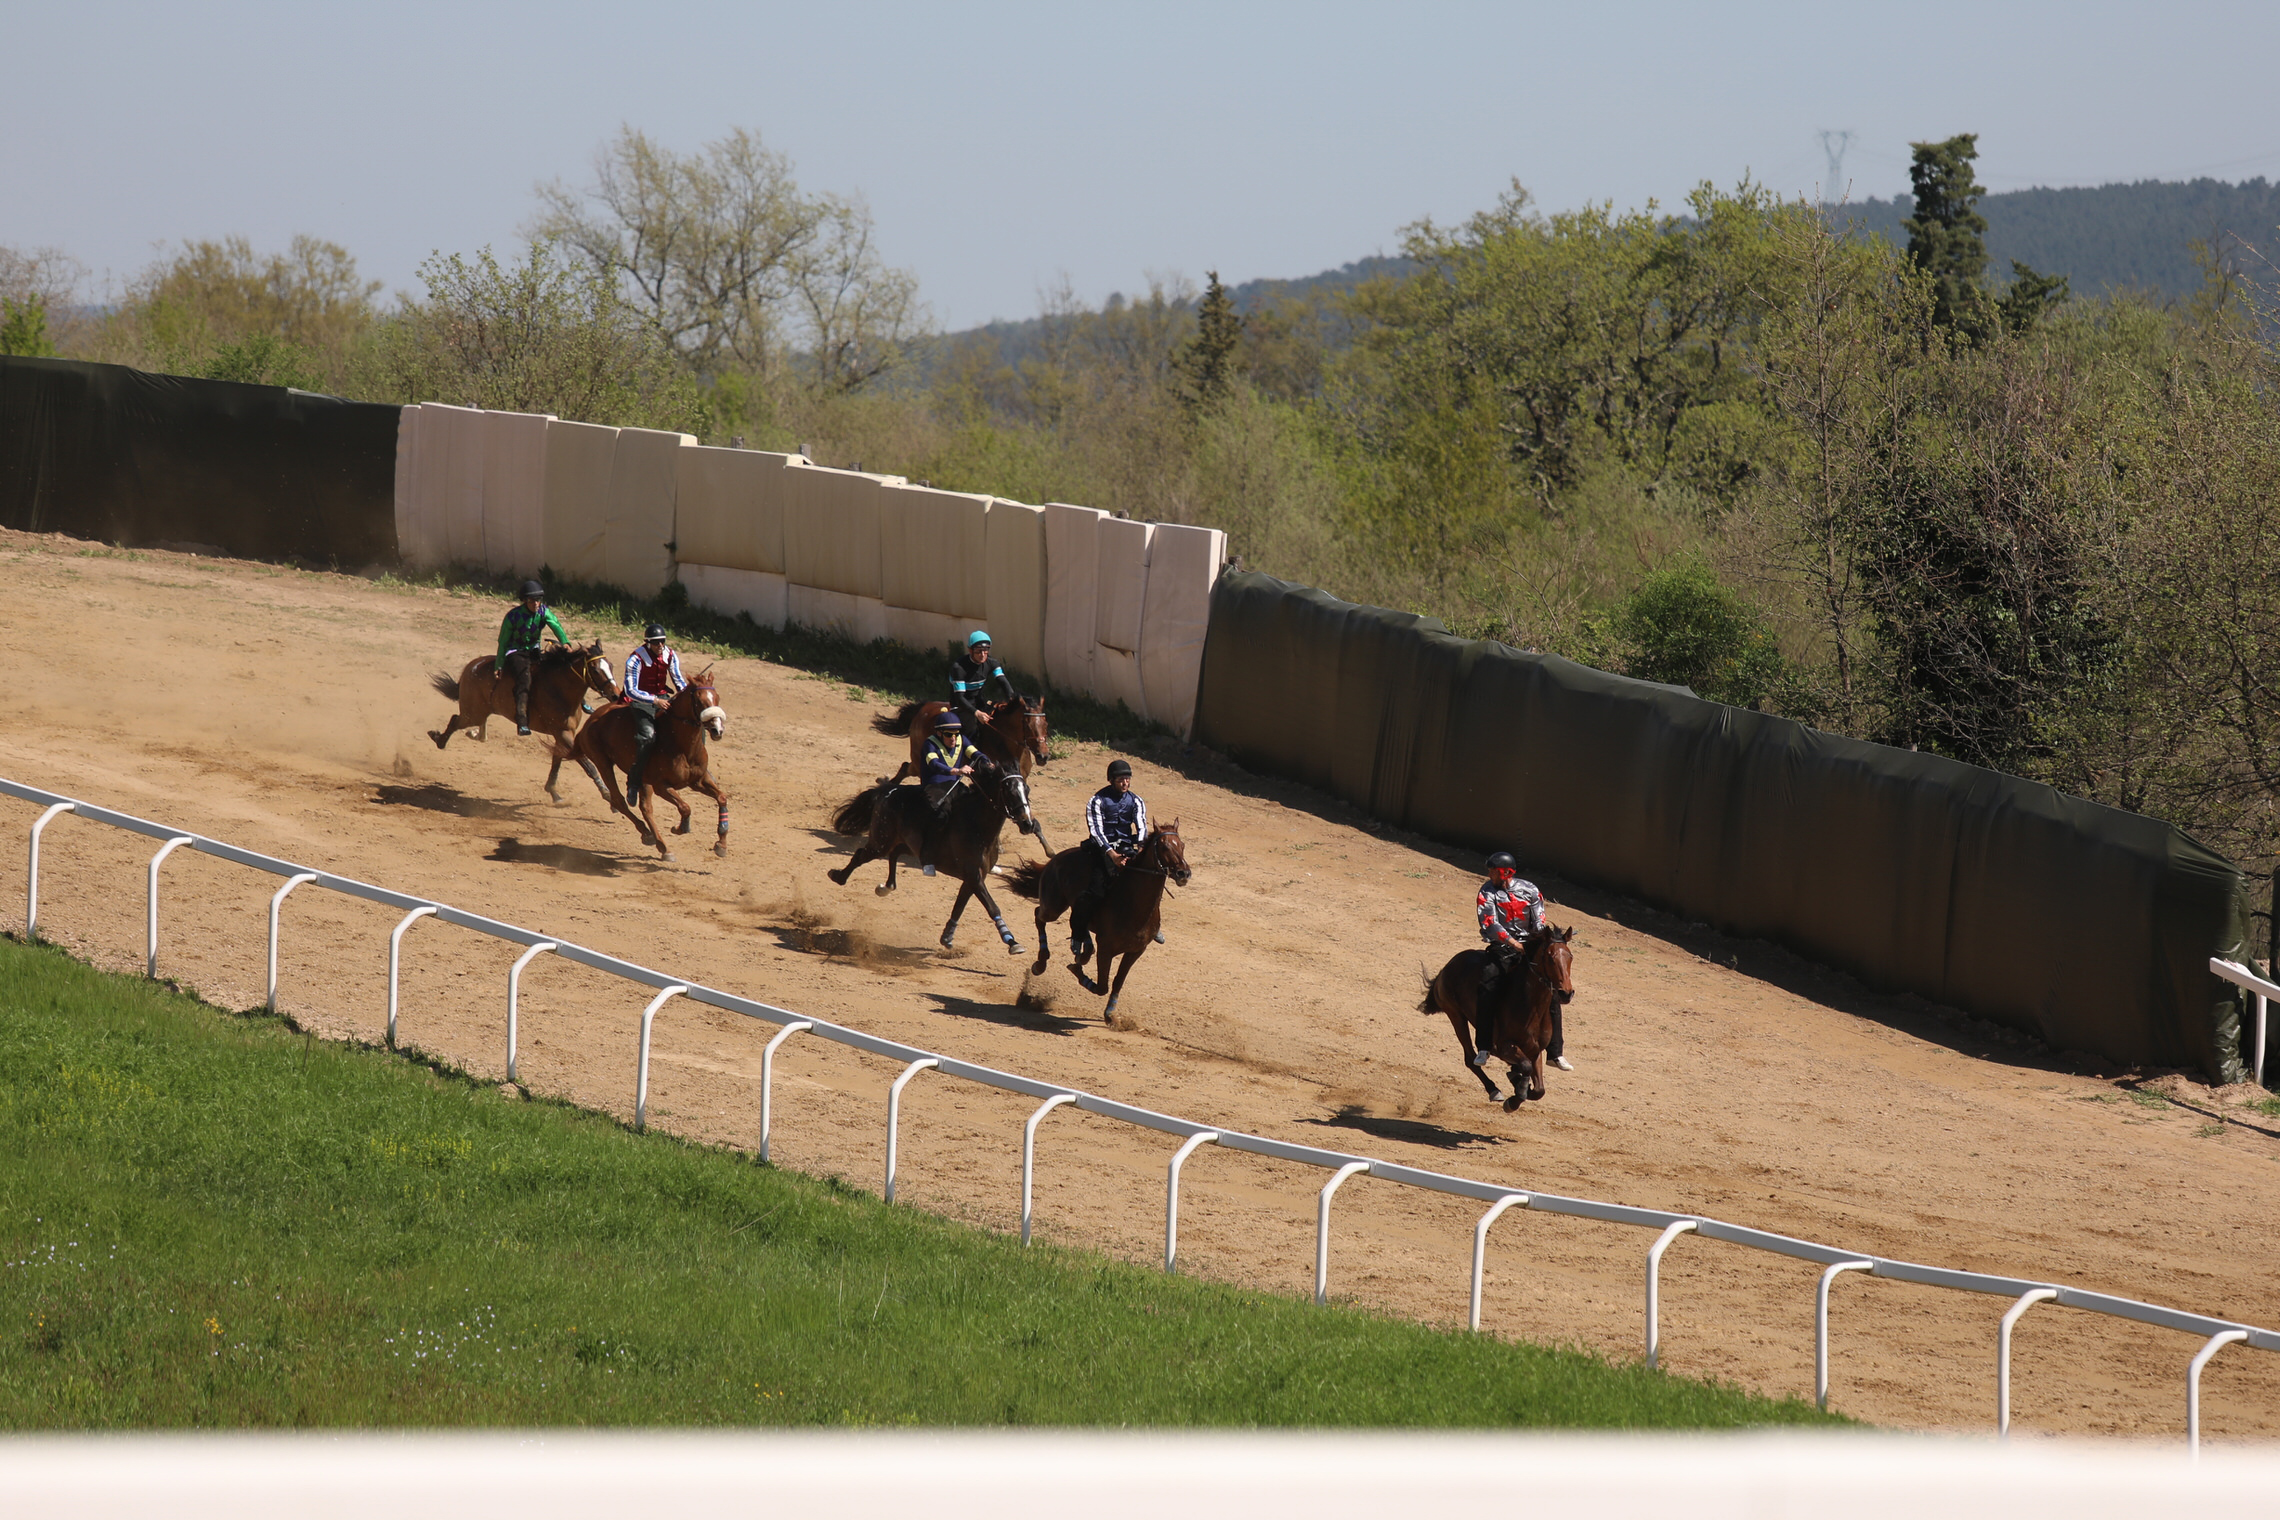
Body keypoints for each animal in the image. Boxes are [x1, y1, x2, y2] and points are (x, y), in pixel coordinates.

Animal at [428, 642, 620, 806]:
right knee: (455, 719)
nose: (616, 694)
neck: (559, 689)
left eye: (610, 666)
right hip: (472, 712)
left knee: (475, 725)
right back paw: (439, 739)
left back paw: (472, 734)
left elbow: (557, 761)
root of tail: (472, 665)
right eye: (595, 669)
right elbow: (588, 765)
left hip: (481, 711)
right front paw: (608, 795)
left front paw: (554, 793)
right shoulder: (562, 733)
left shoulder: (563, 733)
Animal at [570, 669, 729, 861]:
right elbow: (685, 807)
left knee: (645, 807)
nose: (717, 730)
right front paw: (680, 828)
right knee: (620, 800)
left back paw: (661, 845)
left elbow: (721, 797)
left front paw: (721, 844)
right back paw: (649, 835)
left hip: (642, 779)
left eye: (717, 697)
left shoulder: (698, 780)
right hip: (603, 763)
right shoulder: (662, 786)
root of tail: (589, 722)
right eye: (699, 700)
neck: (680, 745)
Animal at [829, 756, 1044, 957]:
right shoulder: (973, 876)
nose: (1028, 824)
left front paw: (947, 937)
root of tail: (888, 791)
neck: (976, 824)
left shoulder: (974, 877)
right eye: (1009, 791)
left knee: (894, 854)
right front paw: (1012, 942)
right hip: (880, 842)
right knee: (860, 855)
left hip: (906, 844)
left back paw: (886, 887)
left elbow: (959, 905)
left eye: (1027, 789)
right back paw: (838, 876)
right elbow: (992, 907)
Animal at [1012, 824, 1203, 1030]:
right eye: (1165, 846)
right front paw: (1077, 971)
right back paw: (1040, 963)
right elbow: (1102, 985)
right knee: (1039, 916)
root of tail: (1056, 858)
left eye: (1182, 845)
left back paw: (1083, 950)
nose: (1184, 873)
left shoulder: (1136, 951)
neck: (1132, 903)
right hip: (1053, 907)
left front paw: (1111, 1015)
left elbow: (1117, 982)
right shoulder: (1106, 948)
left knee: (1078, 924)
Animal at [1413, 920, 1577, 1112]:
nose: (1566, 993)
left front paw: (1520, 1084)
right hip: (1456, 1016)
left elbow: (1539, 1090)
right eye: (1550, 956)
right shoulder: (1502, 1047)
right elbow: (1526, 1068)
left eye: (1570, 956)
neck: (1530, 1008)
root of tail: (1450, 964)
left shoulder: (1535, 1050)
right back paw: (1494, 1090)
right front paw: (1514, 1098)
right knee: (1470, 1059)